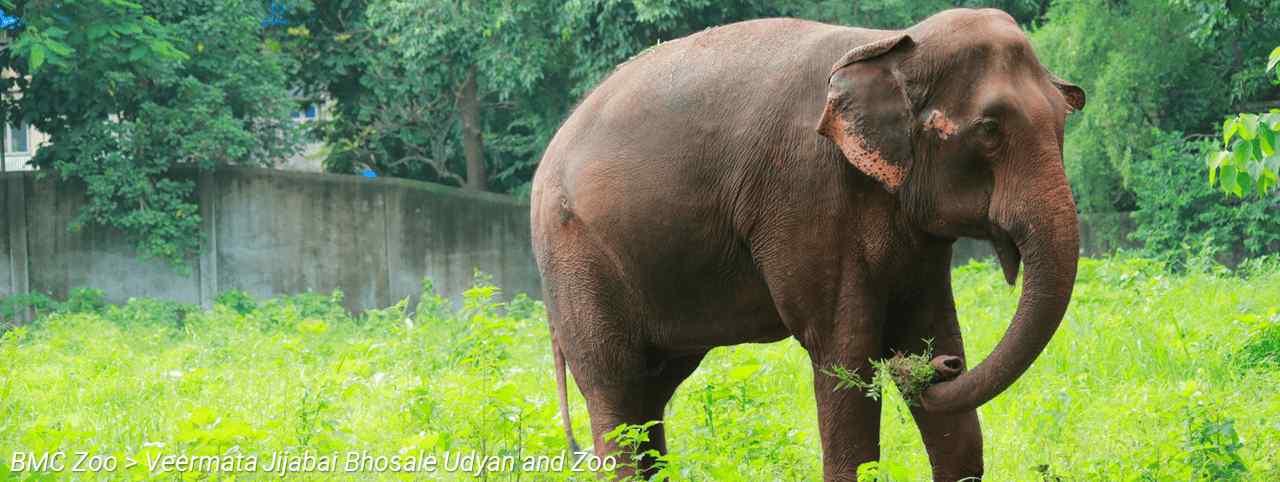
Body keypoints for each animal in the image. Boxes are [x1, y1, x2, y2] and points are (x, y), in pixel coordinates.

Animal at [527, 7, 1080, 480]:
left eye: (1063, 121)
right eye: (988, 129)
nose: (936, 369)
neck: (892, 45)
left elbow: (932, 327)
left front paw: (931, 353)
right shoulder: (808, 195)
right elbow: (843, 351)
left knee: (651, 391)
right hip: (576, 258)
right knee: (616, 389)